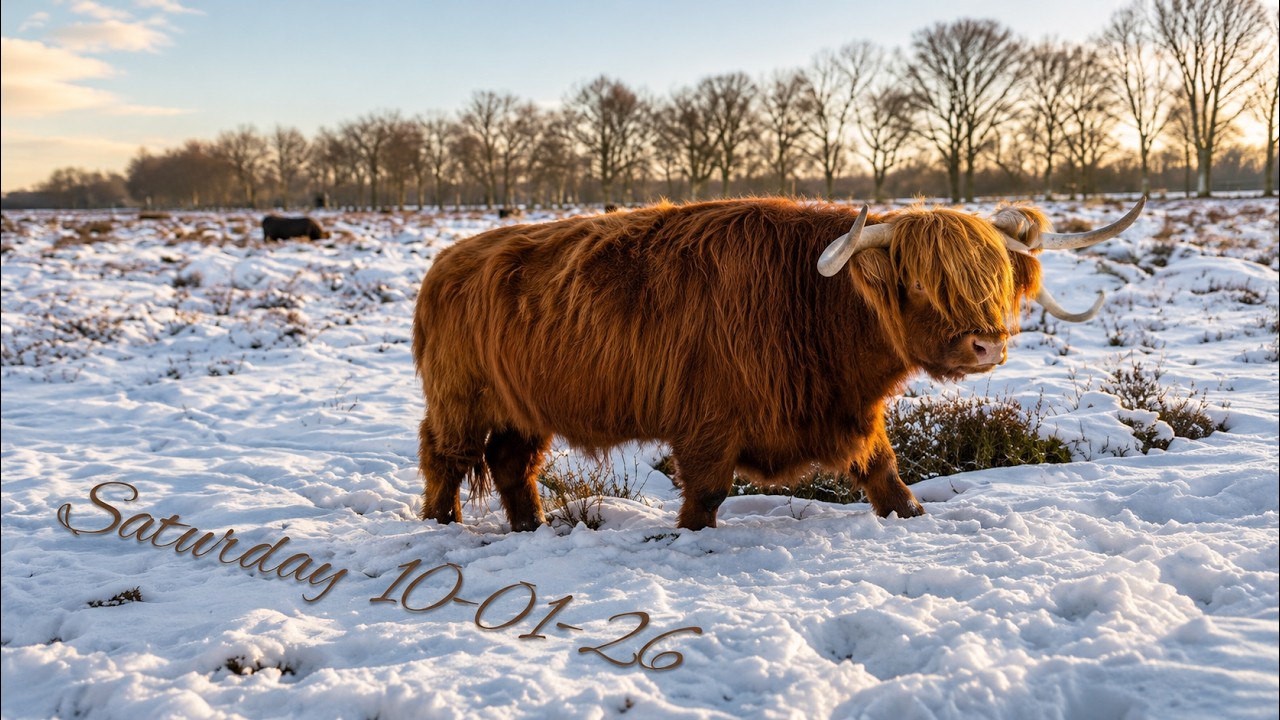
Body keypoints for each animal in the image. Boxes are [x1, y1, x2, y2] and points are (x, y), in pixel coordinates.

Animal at [412, 197, 1144, 532]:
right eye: (921, 282)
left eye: (993, 280)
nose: (987, 345)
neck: (815, 305)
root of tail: (448, 261)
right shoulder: (709, 419)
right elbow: (707, 492)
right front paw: (687, 538)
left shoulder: (850, 411)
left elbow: (884, 472)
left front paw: (910, 517)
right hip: (460, 399)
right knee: (446, 460)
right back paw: (442, 526)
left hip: (522, 406)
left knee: (512, 464)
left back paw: (530, 528)